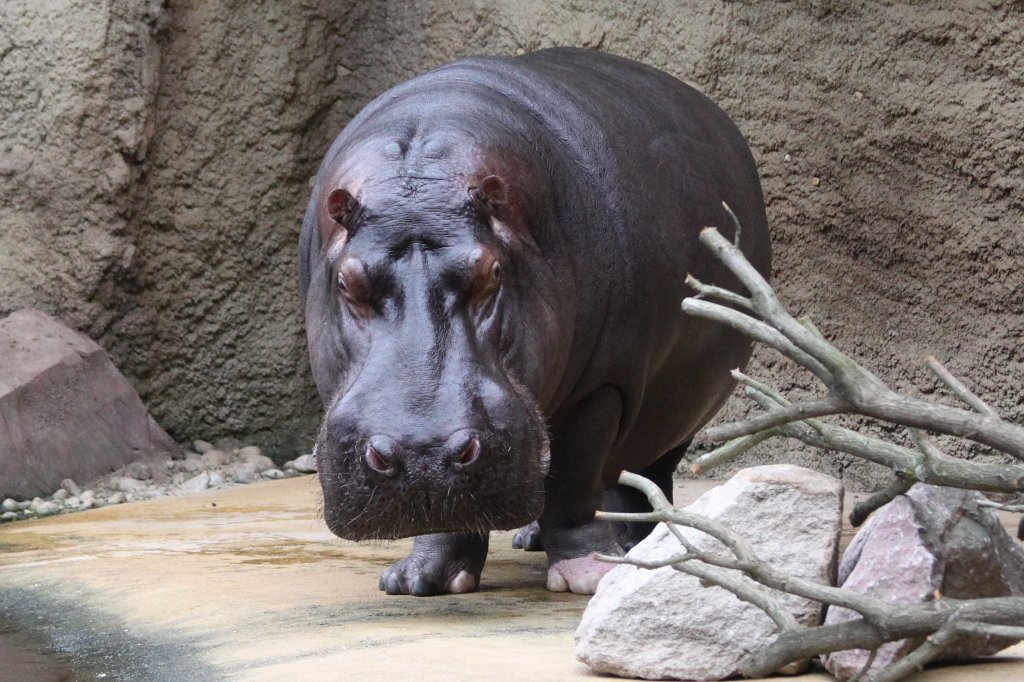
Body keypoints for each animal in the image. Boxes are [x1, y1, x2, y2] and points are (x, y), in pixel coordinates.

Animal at [298, 47, 770, 596]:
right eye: (345, 282)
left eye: (492, 272)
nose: (421, 453)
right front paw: (420, 580)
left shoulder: (604, 385)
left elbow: (573, 478)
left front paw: (588, 575)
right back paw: (531, 537)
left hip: (674, 412)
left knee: (639, 478)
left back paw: (632, 547)